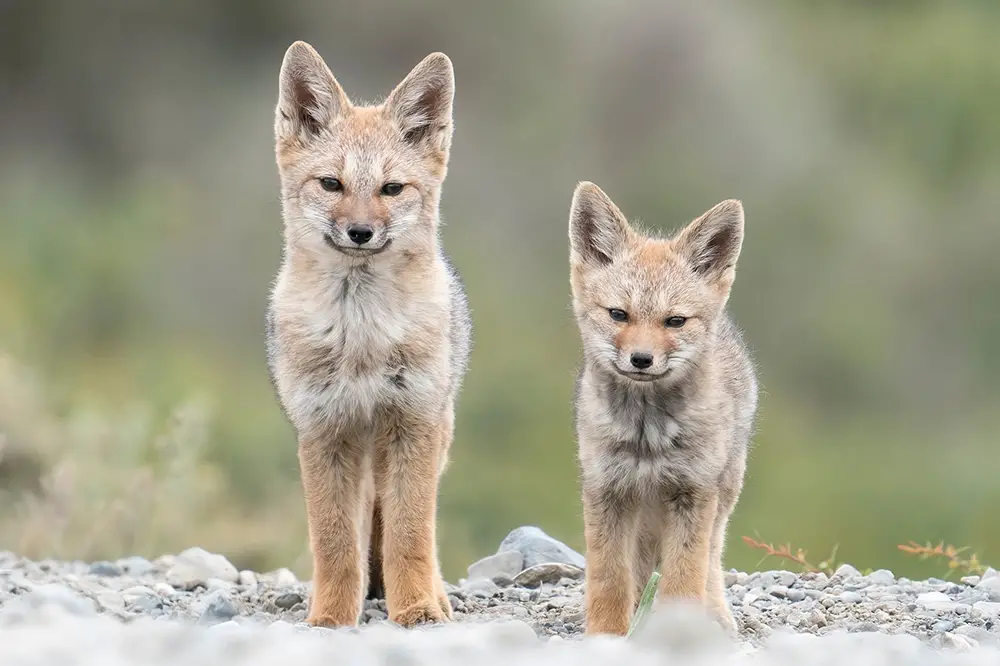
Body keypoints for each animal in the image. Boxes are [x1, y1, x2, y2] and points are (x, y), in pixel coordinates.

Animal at [264, 42, 470, 628]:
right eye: (332, 184)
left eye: (391, 189)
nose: (360, 232)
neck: (361, 339)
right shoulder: (324, 431)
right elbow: (334, 542)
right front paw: (331, 617)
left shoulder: (412, 424)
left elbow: (409, 536)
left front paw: (417, 608)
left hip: (430, 438)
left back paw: (434, 594)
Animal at [568, 180, 752, 632]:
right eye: (619, 315)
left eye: (675, 321)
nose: (641, 359)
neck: (646, 438)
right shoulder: (606, 491)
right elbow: (609, 579)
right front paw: (606, 634)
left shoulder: (693, 493)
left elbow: (685, 576)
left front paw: (677, 631)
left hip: (722, 493)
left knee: (712, 559)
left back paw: (716, 614)